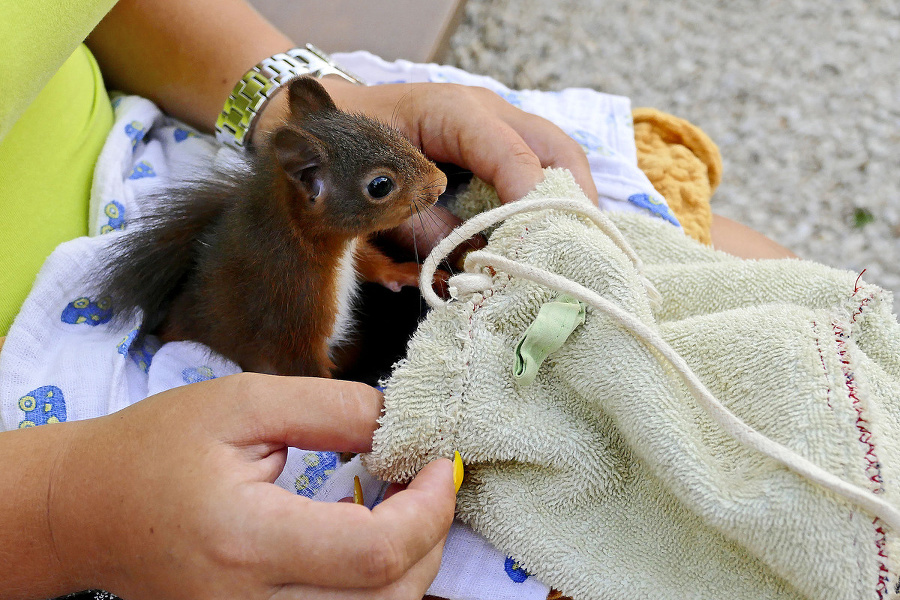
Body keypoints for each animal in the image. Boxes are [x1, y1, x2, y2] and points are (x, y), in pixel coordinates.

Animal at [98, 75, 446, 376]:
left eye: (392, 133)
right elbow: (305, 369)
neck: (301, 239)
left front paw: (412, 272)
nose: (441, 182)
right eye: (380, 185)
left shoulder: (352, 250)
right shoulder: (290, 313)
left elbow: (374, 265)